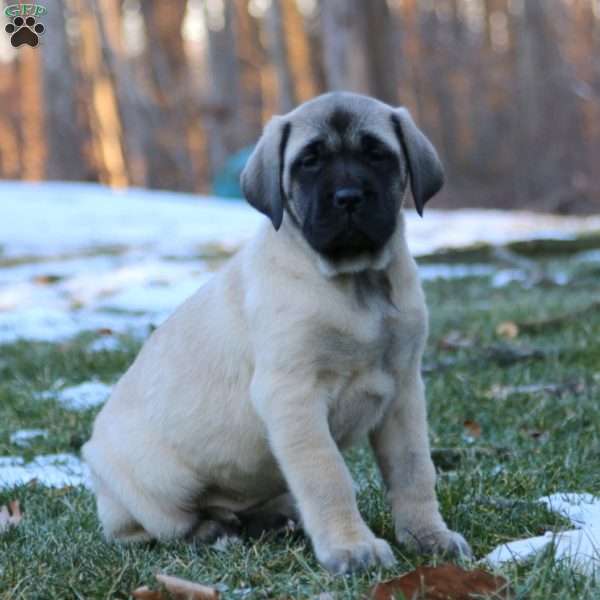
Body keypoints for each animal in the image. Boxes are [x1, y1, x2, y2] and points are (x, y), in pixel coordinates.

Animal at [82, 91, 472, 576]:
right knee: (154, 526)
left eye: (377, 154)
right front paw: (351, 548)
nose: (348, 197)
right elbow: (328, 476)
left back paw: (271, 519)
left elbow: (414, 471)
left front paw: (428, 536)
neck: (356, 282)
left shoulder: (403, 393)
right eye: (309, 161)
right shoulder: (293, 396)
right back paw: (214, 531)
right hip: (157, 482)